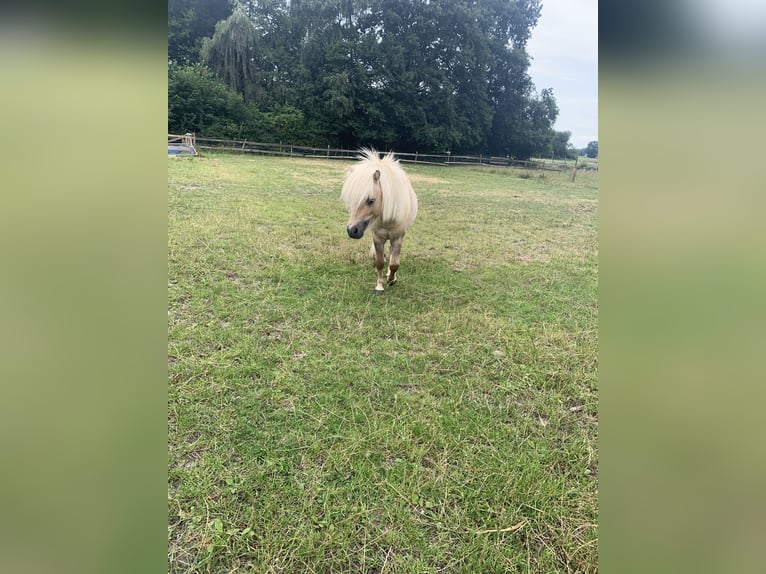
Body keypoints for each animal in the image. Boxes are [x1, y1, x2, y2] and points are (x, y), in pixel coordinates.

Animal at [344, 148, 420, 296]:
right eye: (352, 200)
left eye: (371, 200)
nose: (352, 230)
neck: (387, 219)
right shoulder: (378, 238)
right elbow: (379, 262)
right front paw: (379, 286)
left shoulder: (397, 238)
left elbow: (395, 264)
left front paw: (391, 279)